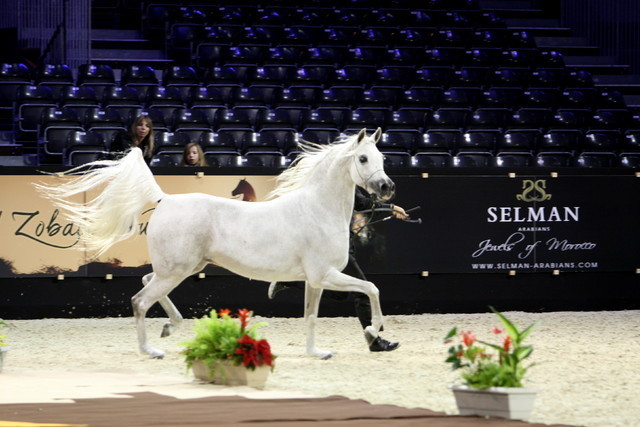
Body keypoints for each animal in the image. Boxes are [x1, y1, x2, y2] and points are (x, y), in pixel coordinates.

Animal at [35, 128, 395, 360]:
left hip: (179, 268)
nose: (386, 187)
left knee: (147, 281)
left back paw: (170, 327)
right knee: (139, 300)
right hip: (176, 270)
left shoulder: (315, 281)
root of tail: (165, 199)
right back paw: (151, 350)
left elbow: (311, 316)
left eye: (381, 156)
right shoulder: (325, 275)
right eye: (363, 158)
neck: (318, 209)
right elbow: (373, 288)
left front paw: (318, 353)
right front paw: (373, 330)